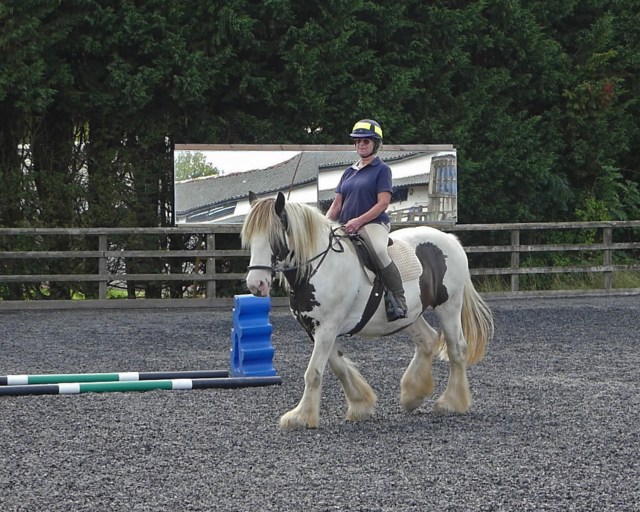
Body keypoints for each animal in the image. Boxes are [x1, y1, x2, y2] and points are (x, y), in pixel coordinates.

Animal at [241, 192, 494, 430]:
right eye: (250, 239)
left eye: (275, 239)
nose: (256, 284)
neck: (320, 268)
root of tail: (449, 238)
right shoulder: (316, 330)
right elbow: (338, 367)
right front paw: (361, 405)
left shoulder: (327, 328)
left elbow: (313, 372)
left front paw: (300, 417)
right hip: (410, 315)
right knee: (428, 340)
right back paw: (412, 395)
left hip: (449, 306)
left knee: (456, 349)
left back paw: (451, 402)